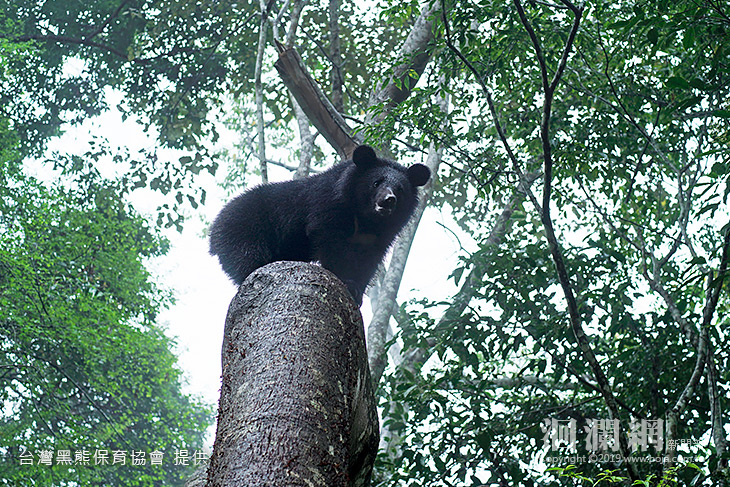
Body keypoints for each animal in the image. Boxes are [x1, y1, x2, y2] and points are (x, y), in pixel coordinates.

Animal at [209, 144, 431, 304]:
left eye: (400, 189)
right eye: (376, 183)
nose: (388, 200)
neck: (364, 218)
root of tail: (214, 228)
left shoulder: (379, 236)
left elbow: (369, 259)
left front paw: (357, 290)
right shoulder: (328, 207)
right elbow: (330, 241)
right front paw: (347, 282)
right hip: (243, 230)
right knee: (249, 259)